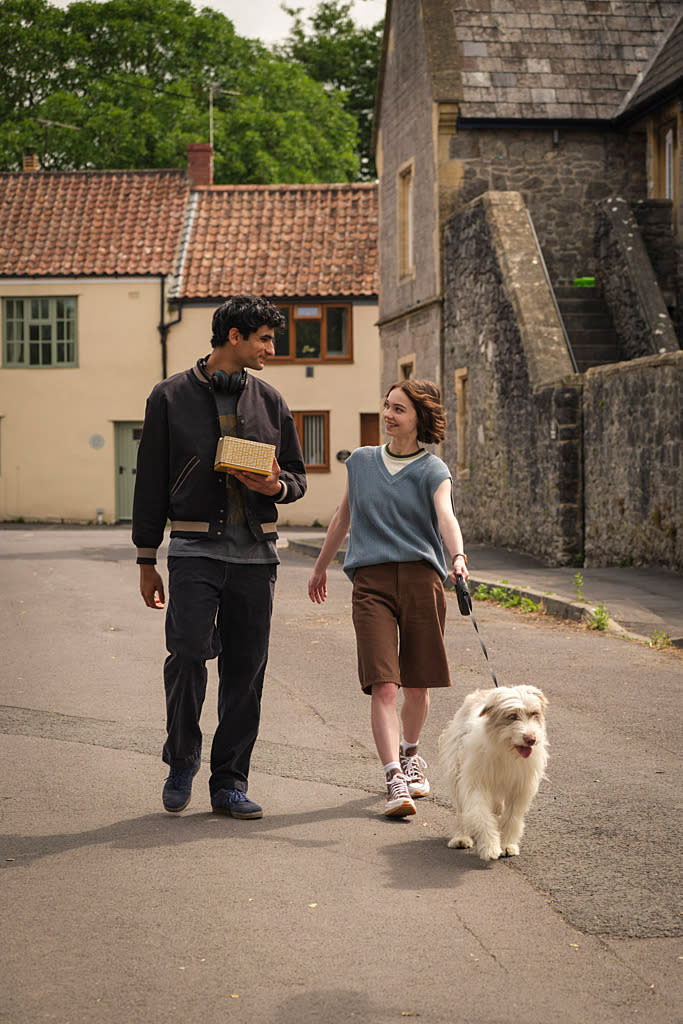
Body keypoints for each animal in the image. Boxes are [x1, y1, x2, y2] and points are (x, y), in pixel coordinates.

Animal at [438, 684, 548, 860]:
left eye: (534, 713)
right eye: (512, 716)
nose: (531, 739)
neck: (505, 750)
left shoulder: (520, 788)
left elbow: (512, 817)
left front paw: (507, 845)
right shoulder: (476, 784)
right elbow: (481, 814)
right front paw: (490, 846)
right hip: (456, 771)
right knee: (462, 810)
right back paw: (461, 837)